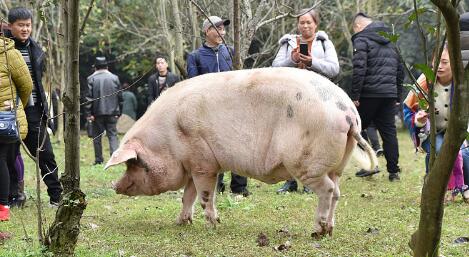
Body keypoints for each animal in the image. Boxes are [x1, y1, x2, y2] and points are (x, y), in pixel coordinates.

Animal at [104, 66, 374, 236]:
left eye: (132, 163)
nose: (115, 186)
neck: (167, 138)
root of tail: (348, 113)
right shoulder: (194, 165)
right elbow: (187, 196)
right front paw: (181, 223)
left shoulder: (203, 163)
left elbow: (205, 196)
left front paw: (214, 225)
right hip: (337, 164)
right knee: (337, 191)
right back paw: (329, 230)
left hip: (307, 163)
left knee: (328, 190)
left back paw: (317, 231)